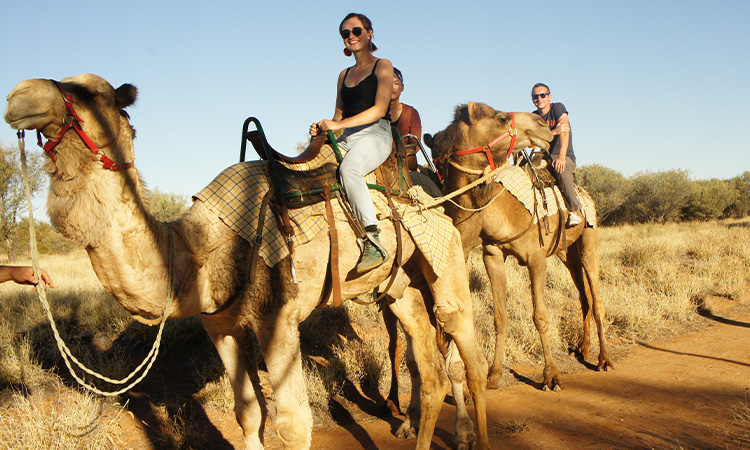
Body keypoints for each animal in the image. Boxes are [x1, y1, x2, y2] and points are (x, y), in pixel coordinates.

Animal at [4, 74, 494, 450]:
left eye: (84, 93)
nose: (18, 96)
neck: (205, 251)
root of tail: (427, 188)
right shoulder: (220, 324)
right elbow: (248, 415)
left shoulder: (277, 317)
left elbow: (293, 425)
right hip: (400, 284)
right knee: (428, 363)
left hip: (446, 256)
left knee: (465, 355)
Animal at [418, 102, 616, 390]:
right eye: (501, 119)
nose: (542, 125)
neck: (500, 211)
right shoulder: (492, 254)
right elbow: (500, 316)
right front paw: (493, 375)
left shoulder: (536, 257)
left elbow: (540, 317)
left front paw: (551, 376)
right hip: (566, 251)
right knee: (584, 296)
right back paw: (584, 348)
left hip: (590, 237)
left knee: (597, 297)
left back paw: (604, 360)